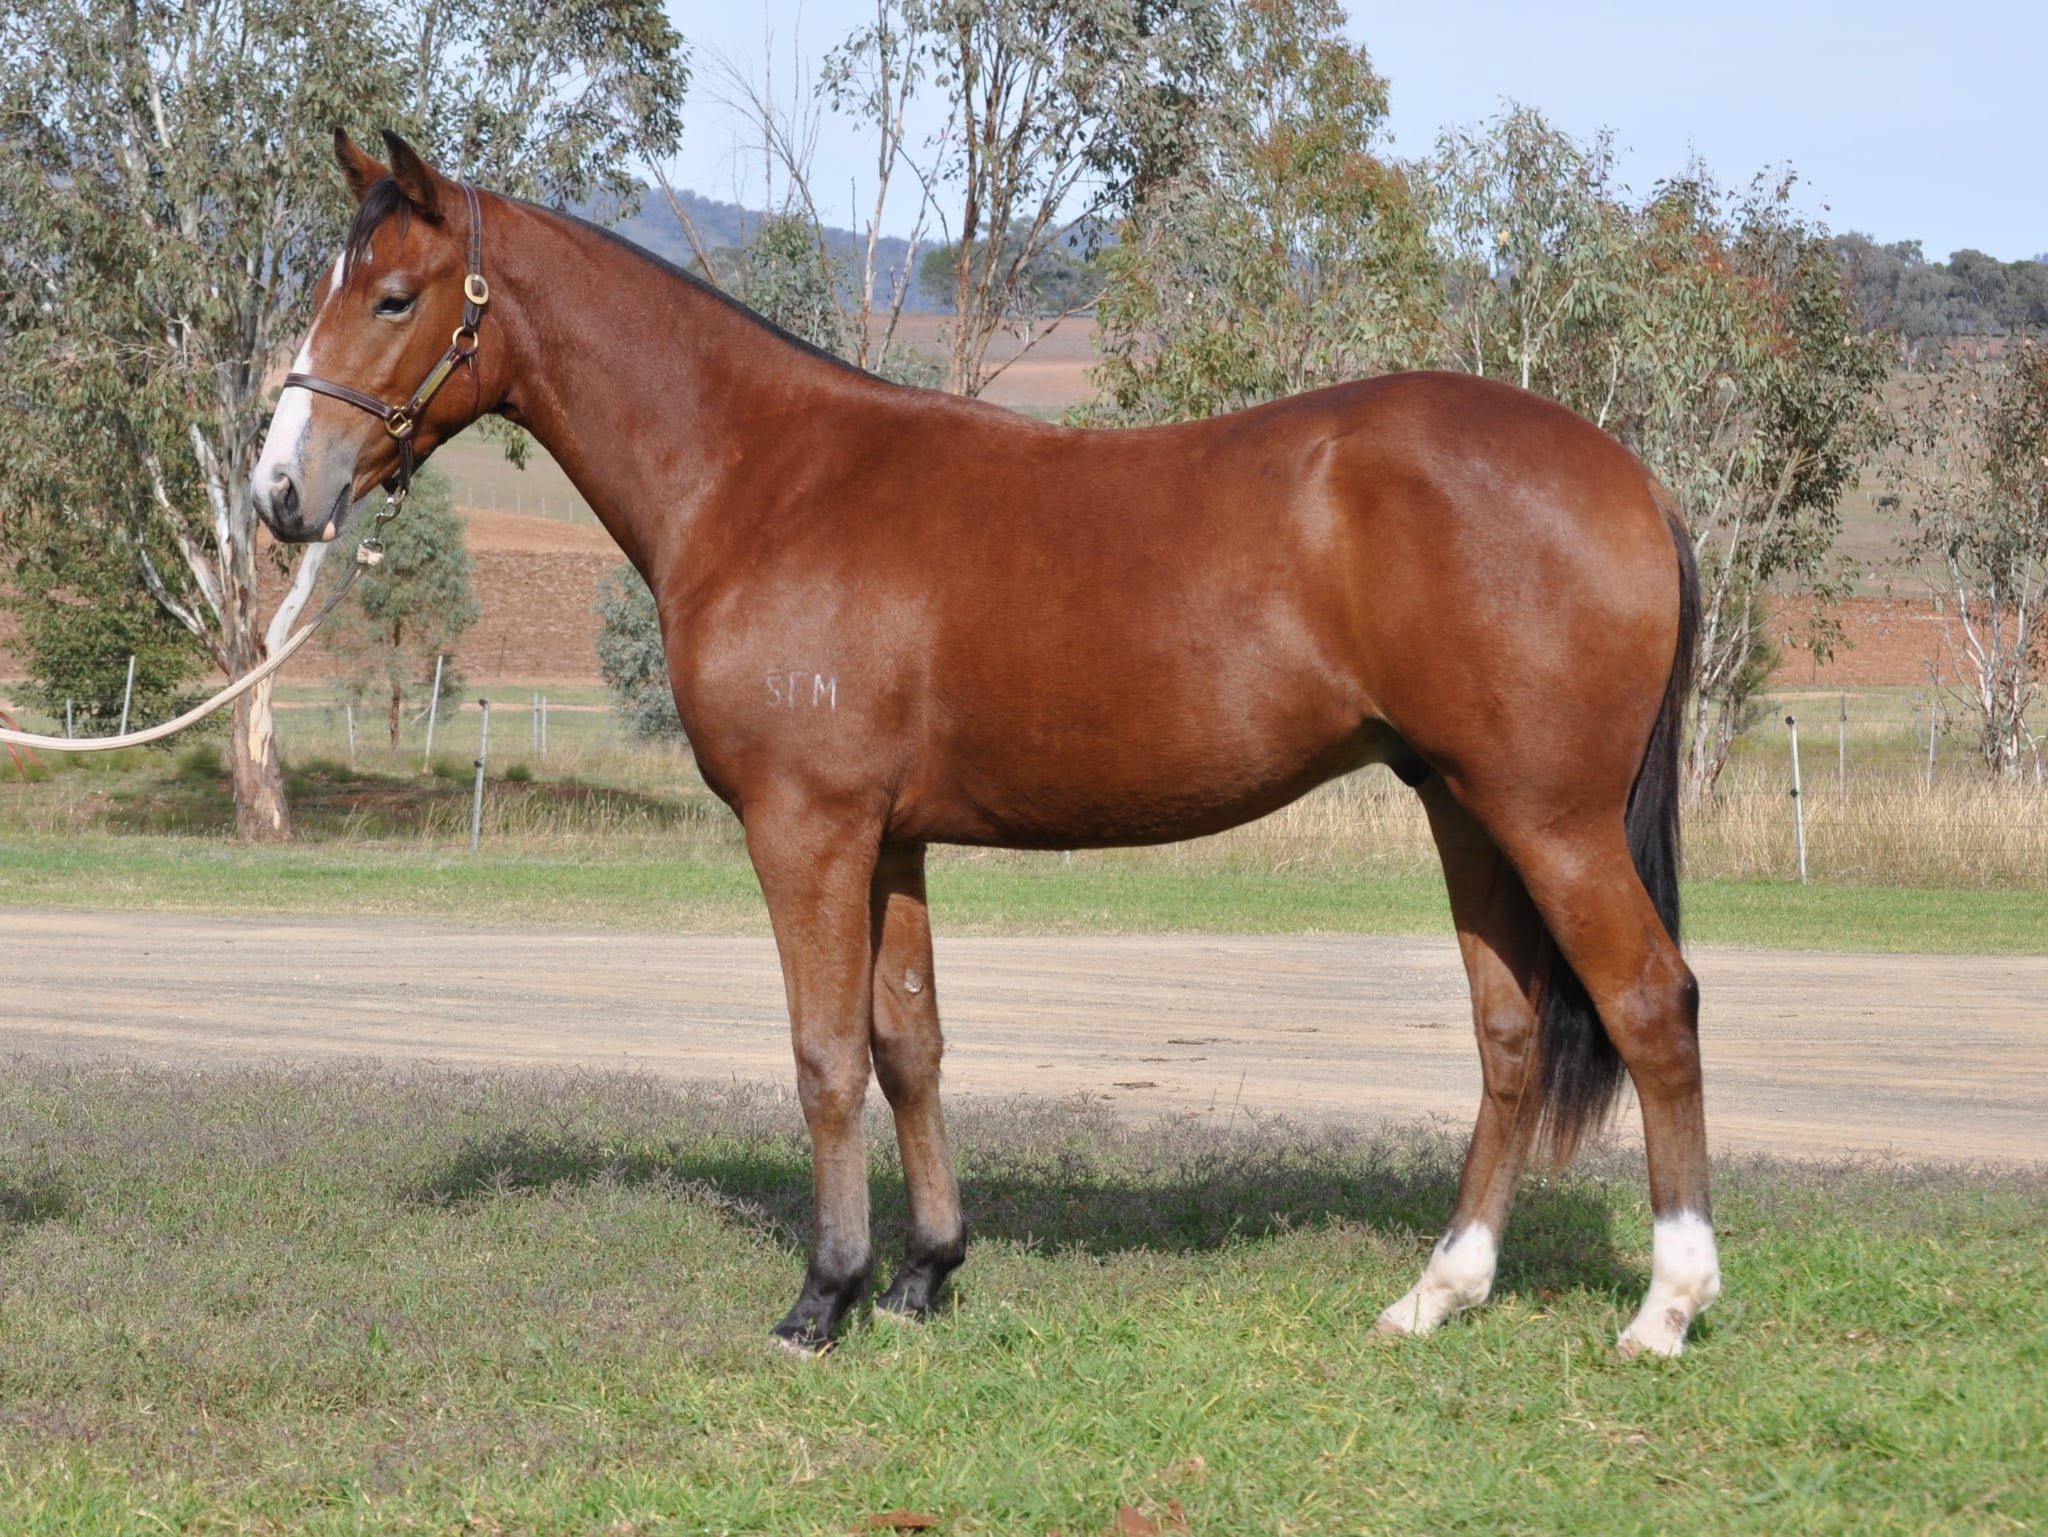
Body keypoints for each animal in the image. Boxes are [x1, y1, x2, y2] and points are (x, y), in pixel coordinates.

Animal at [253, 130, 1719, 1358]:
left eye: (394, 298)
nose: (280, 492)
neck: (762, 478)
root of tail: (1632, 477)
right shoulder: (889, 837)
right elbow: (910, 1042)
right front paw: (923, 1274)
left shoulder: (807, 825)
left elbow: (825, 1054)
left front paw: (823, 1297)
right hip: (1463, 805)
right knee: (1510, 1031)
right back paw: (1437, 1291)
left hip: (1551, 817)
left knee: (1652, 1003)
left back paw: (1665, 1306)